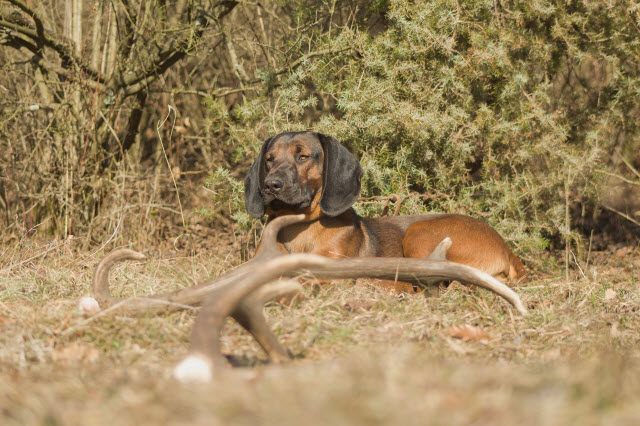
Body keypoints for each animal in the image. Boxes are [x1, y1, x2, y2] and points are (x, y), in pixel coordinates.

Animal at [245, 131, 524, 286]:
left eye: (302, 156)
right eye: (269, 159)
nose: (270, 185)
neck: (299, 227)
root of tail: (507, 249)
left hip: (418, 233)